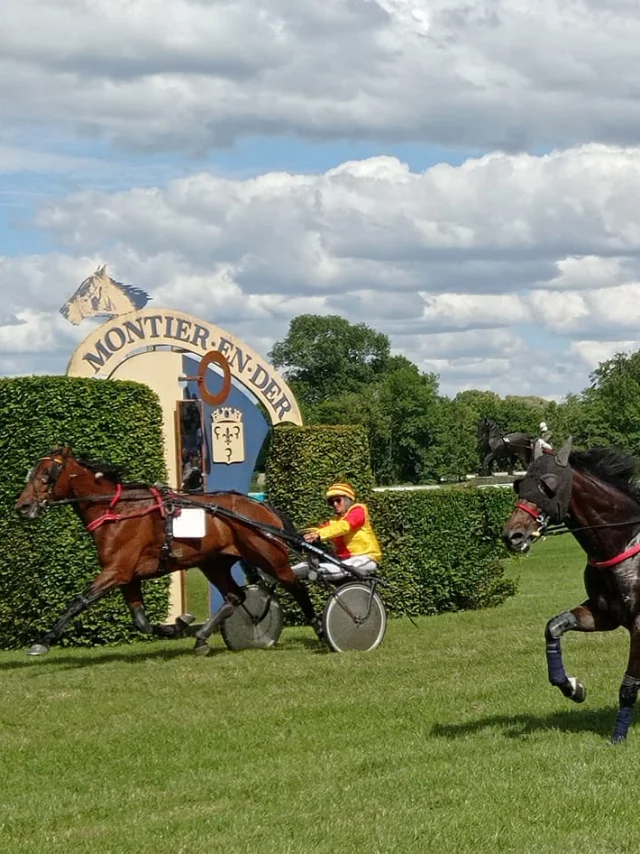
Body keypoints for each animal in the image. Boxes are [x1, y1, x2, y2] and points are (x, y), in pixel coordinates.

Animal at [12, 452, 318, 660]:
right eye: (32, 472)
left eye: (46, 473)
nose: (22, 506)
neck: (117, 511)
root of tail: (261, 506)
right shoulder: (127, 577)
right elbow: (141, 622)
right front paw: (179, 625)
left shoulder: (116, 570)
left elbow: (79, 601)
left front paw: (42, 641)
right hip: (213, 563)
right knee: (235, 596)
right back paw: (202, 639)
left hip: (270, 556)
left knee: (297, 587)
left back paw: (318, 627)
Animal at [504, 442, 640, 744]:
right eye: (520, 485)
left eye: (547, 486)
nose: (512, 536)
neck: (623, 541)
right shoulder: (604, 615)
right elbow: (554, 626)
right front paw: (572, 687)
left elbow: (628, 687)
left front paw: (618, 736)